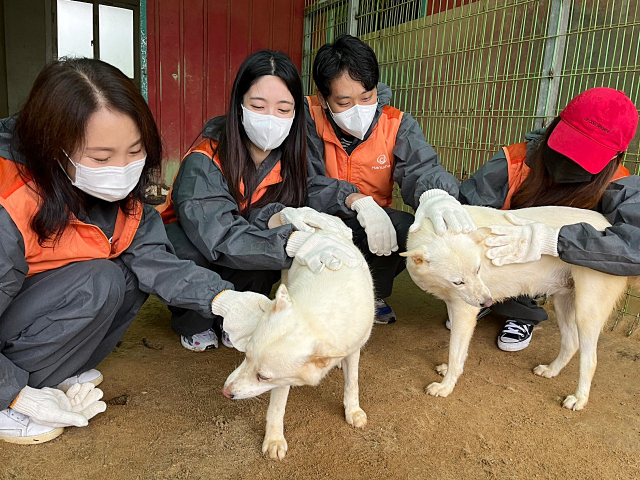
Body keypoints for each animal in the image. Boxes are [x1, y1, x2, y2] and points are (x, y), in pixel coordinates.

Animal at [221, 232, 376, 462]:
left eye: (263, 377)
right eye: (246, 356)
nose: (225, 392)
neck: (320, 315)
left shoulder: (353, 348)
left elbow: (352, 383)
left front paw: (353, 411)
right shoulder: (283, 380)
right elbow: (277, 407)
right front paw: (274, 440)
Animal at [404, 204, 640, 410]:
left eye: (478, 270)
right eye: (458, 281)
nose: (488, 302)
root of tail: (608, 225)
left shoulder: (465, 312)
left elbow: (455, 353)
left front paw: (446, 386)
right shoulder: (455, 308)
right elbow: (459, 353)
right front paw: (450, 373)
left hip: (586, 314)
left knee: (590, 361)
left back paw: (579, 399)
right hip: (563, 302)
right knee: (571, 343)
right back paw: (551, 370)